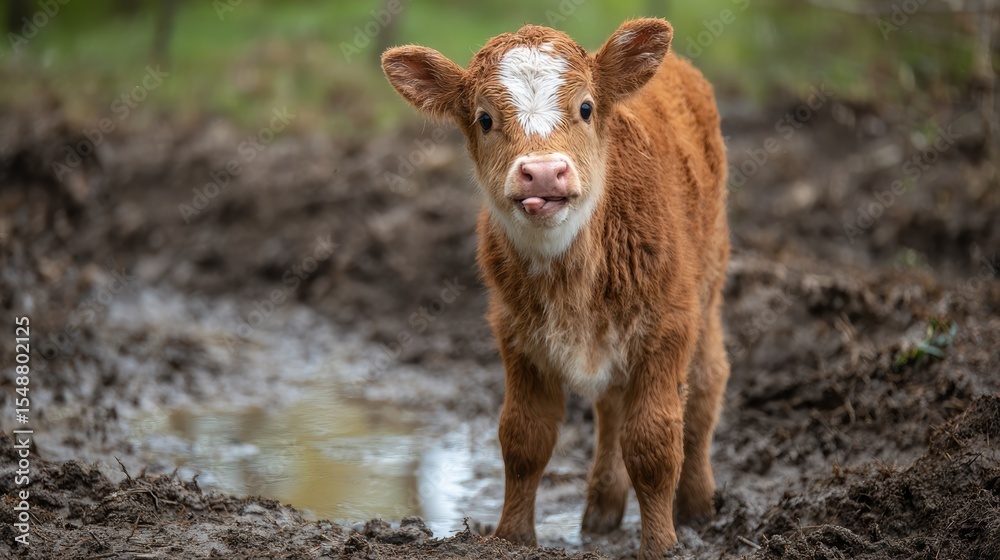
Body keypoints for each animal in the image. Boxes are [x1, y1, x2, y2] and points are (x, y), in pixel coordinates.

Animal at [381, 18, 730, 559]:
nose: (543, 171)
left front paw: (661, 545)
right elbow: (524, 438)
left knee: (707, 385)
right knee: (611, 407)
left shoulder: (668, 325)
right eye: (484, 118)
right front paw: (512, 537)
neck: (574, 279)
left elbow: (652, 443)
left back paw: (697, 505)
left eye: (585, 107)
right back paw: (602, 510)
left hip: (708, 288)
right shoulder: (516, 334)